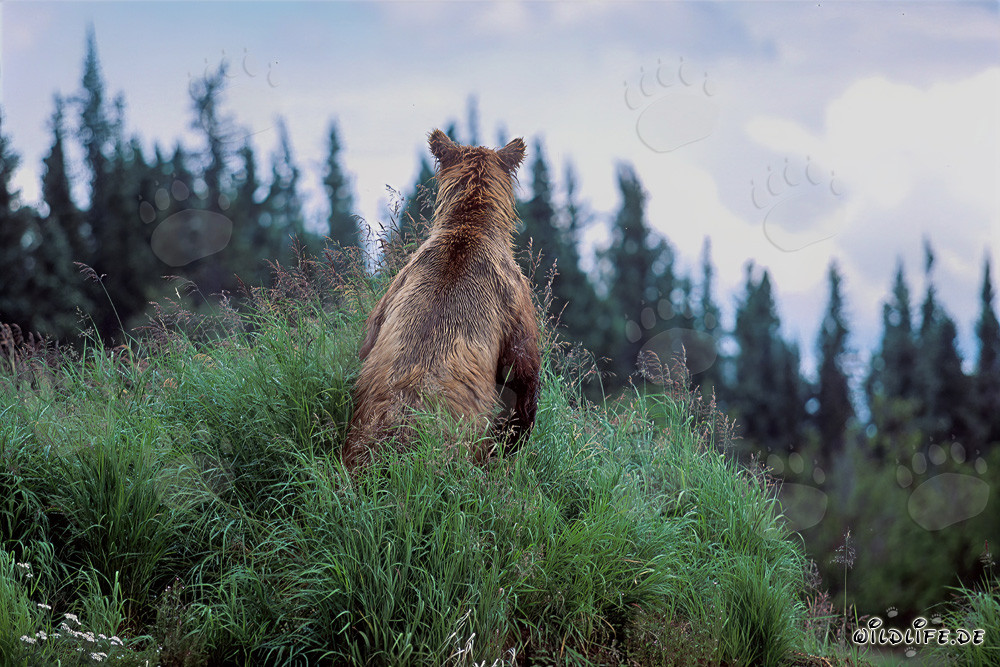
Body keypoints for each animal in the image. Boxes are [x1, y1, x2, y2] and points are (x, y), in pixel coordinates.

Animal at [341, 129, 541, 473]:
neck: (468, 229)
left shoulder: (395, 288)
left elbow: (366, 342)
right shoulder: (512, 299)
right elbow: (523, 373)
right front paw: (516, 435)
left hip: (363, 431)